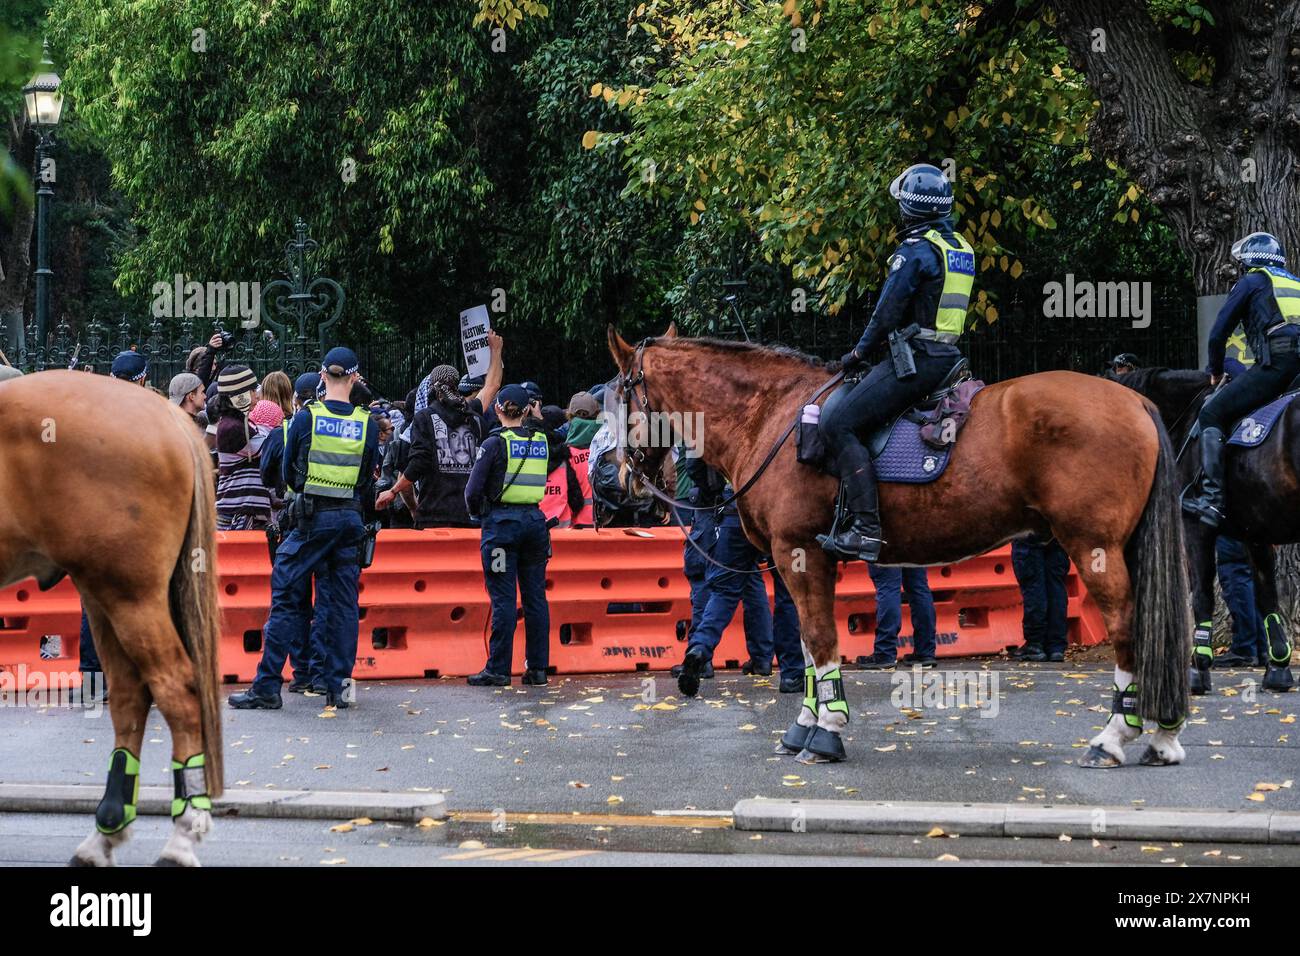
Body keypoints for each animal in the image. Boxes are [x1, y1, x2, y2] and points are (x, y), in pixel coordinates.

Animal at [0, 371, 222, 868]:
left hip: (129, 596)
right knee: (128, 693)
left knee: (176, 688)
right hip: (102, 598)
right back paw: (107, 828)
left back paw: (181, 833)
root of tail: (168, 414)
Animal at [613, 329, 1190, 770]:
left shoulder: (801, 554)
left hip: (1094, 547)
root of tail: (1134, 399)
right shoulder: (792, 561)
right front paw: (804, 725)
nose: (622, 479)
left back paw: (1115, 738)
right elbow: (805, 645)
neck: (772, 417)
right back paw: (1164, 735)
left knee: (1129, 628)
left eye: (619, 397)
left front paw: (827, 729)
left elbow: (819, 640)